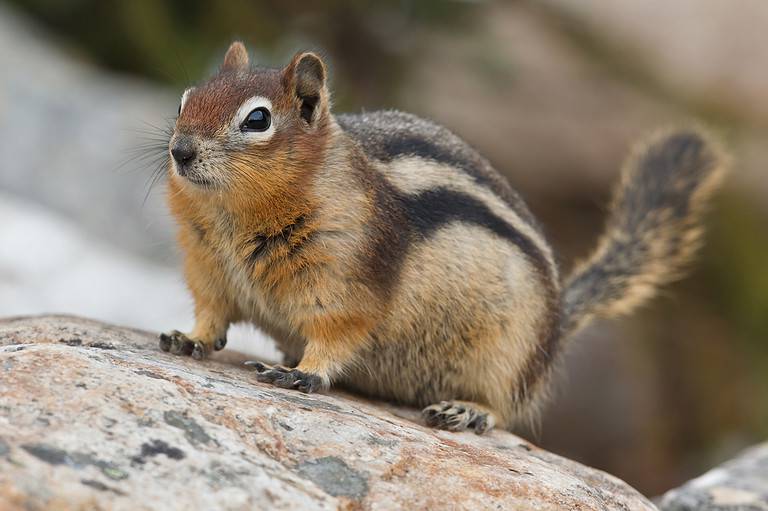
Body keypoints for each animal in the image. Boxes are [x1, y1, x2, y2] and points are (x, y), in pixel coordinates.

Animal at [158, 41, 726, 434]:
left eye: (257, 119)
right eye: (186, 99)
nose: (180, 151)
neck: (233, 217)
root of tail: (557, 323)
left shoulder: (347, 280)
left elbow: (338, 333)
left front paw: (306, 374)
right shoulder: (209, 270)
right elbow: (212, 315)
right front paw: (188, 338)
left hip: (505, 356)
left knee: (506, 407)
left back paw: (466, 410)